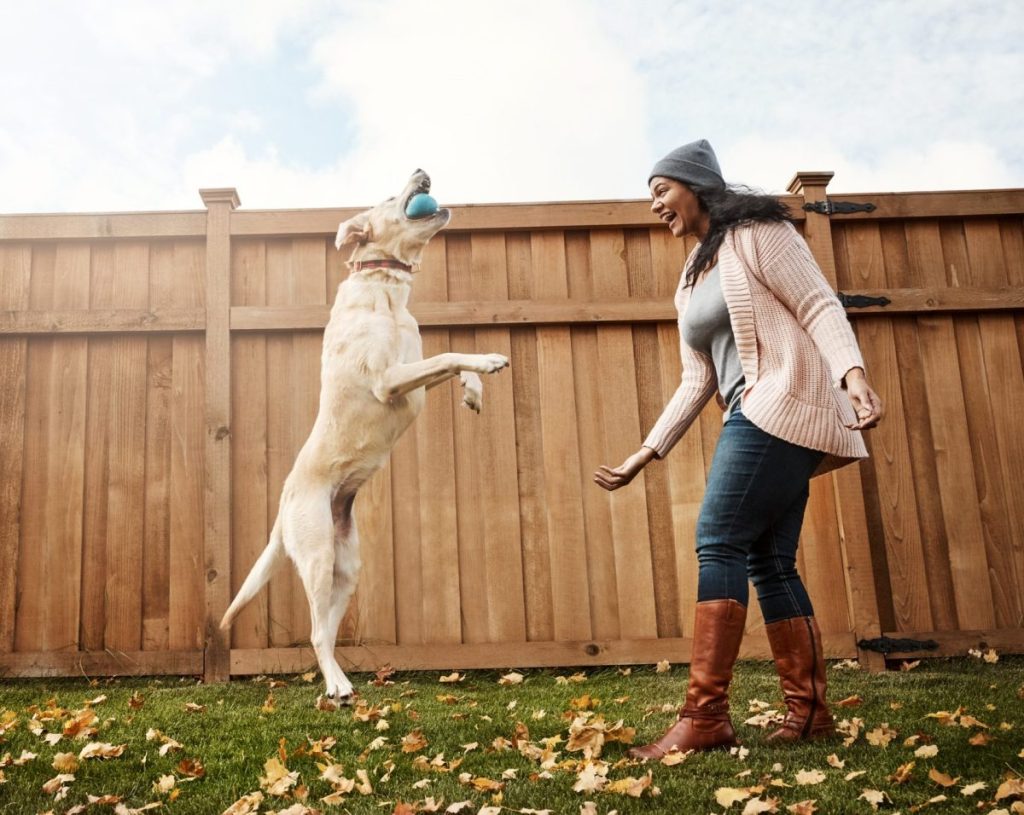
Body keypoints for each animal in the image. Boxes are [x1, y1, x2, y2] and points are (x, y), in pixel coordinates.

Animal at [224, 169, 512, 700]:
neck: (385, 289)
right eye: (388, 194)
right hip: (317, 555)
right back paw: (336, 688)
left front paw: (473, 389)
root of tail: (283, 504)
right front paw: (487, 361)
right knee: (316, 631)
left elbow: (446, 360)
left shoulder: (410, 373)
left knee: (329, 628)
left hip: (347, 566)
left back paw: (340, 675)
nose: (421, 171)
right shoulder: (387, 380)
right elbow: (449, 354)